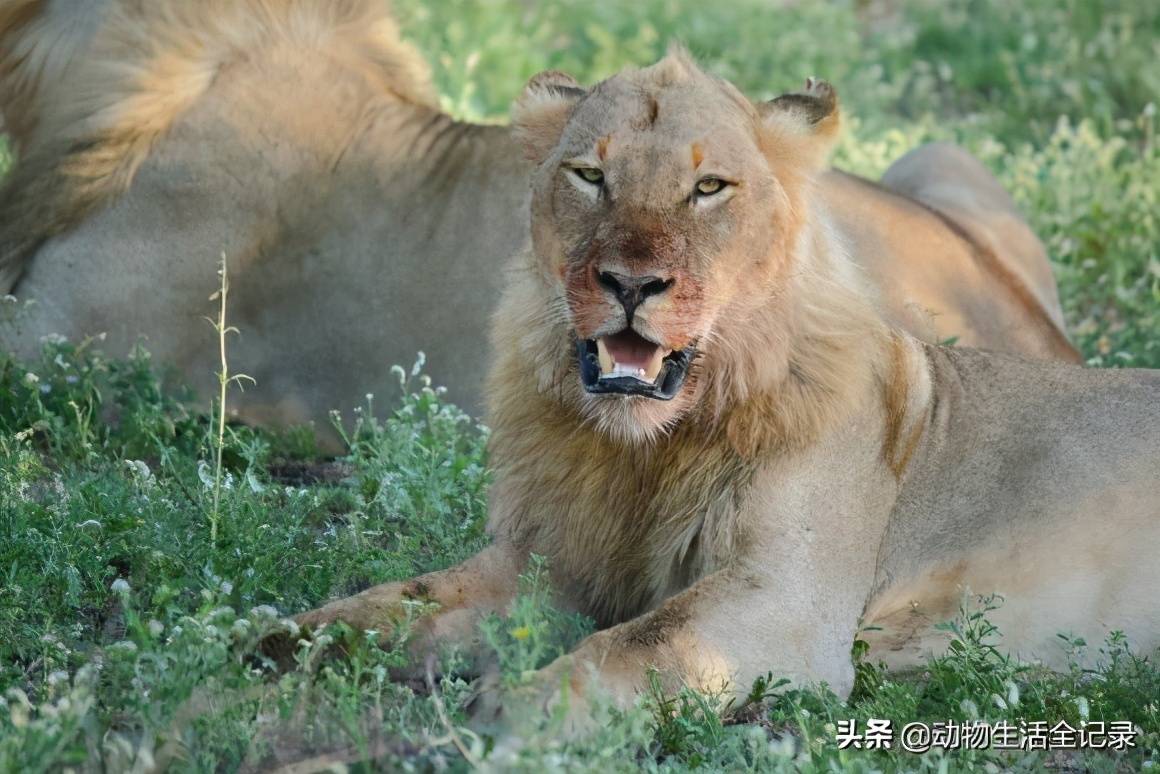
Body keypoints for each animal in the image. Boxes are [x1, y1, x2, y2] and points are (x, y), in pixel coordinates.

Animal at [290, 54, 1160, 733]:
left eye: (708, 187)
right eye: (590, 176)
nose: (630, 283)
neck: (643, 451)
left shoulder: (787, 599)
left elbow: (635, 646)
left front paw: (520, 710)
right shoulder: (550, 560)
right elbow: (413, 596)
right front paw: (296, 642)